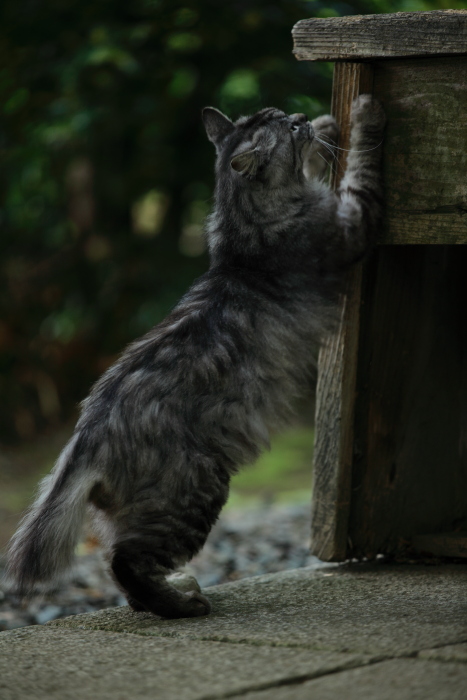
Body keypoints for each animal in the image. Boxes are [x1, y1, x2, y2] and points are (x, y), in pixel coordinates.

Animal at [7, 93, 386, 616]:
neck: (243, 227)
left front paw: (331, 121)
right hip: (194, 492)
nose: (300, 118)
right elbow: (363, 169)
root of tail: (88, 432)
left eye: (288, 118)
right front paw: (366, 113)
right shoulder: (350, 226)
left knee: (119, 563)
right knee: (124, 562)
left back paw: (166, 595)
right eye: (289, 132)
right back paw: (181, 605)